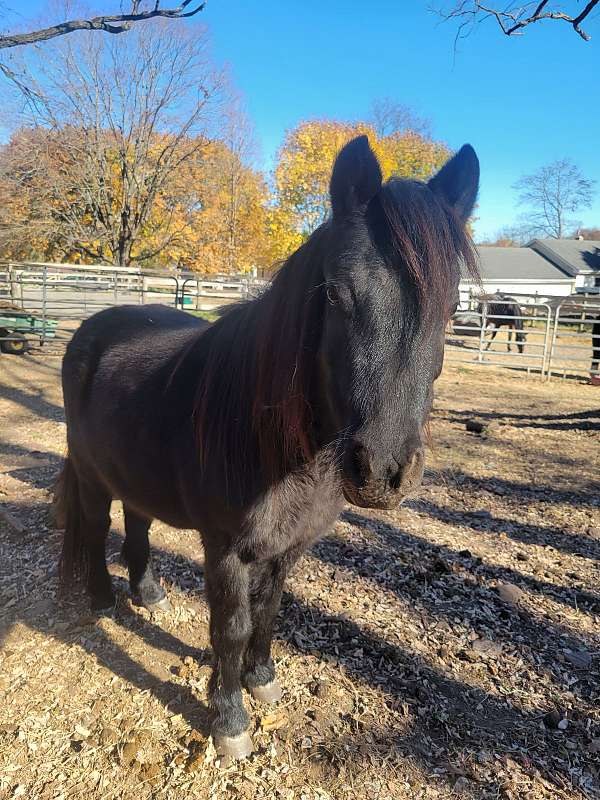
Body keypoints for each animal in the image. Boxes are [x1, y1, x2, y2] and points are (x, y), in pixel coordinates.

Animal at [54, 136, 480, 756]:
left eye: (450, 311)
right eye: (338, 295)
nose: (383, 471)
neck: (280, 451)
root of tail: (90, 329)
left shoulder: (288, 547)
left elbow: (269, 612)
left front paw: (262, 680)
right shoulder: (226, 550)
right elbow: (230, 628)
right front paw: (230, 719)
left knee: (137, 522)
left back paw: (148, 593)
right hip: (90, 476)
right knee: (92, 528)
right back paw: (103, 600)